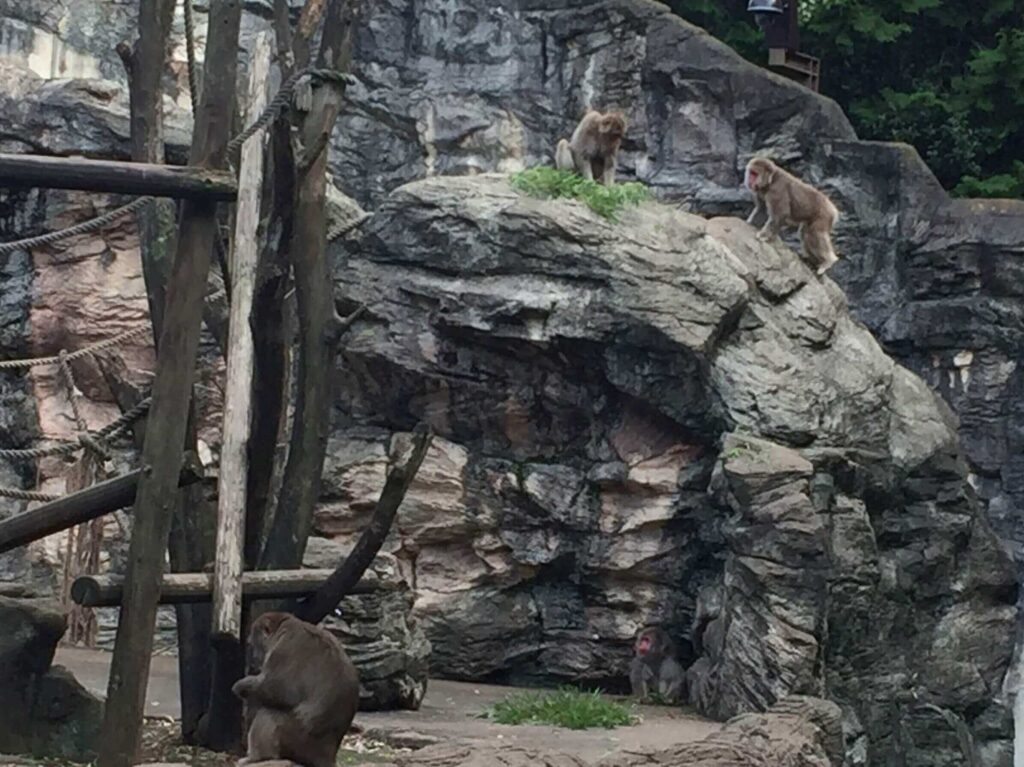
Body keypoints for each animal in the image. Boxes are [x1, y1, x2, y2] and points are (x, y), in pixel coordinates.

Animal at [232, 610, 360, 765]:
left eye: (252, 643)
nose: (254, 658)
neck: (283, 627)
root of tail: (327, 755)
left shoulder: (284, 649)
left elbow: (279, 690)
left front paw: (242, 686)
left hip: (296, 739)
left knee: (269, 713)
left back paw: (258, 757)